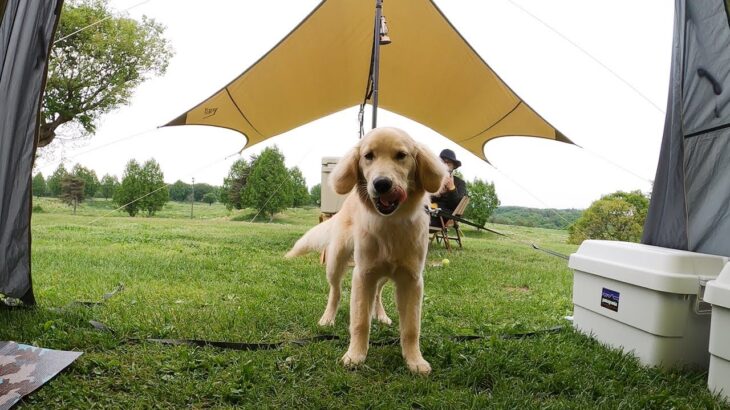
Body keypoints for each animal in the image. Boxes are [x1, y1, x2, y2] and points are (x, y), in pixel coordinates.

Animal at [284, 126, 444, 374]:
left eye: (401, 155)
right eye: (368, 156)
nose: (381, 184)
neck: (390, 223)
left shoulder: (412, 279)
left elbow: (411, 327)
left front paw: (414, 360)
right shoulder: (363, 274)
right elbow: (359, 321)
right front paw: (355, 355)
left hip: (383, 274)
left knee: (377, 293)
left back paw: (381, 315)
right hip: (336, 260)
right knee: (336, 291)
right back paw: (328, 318)